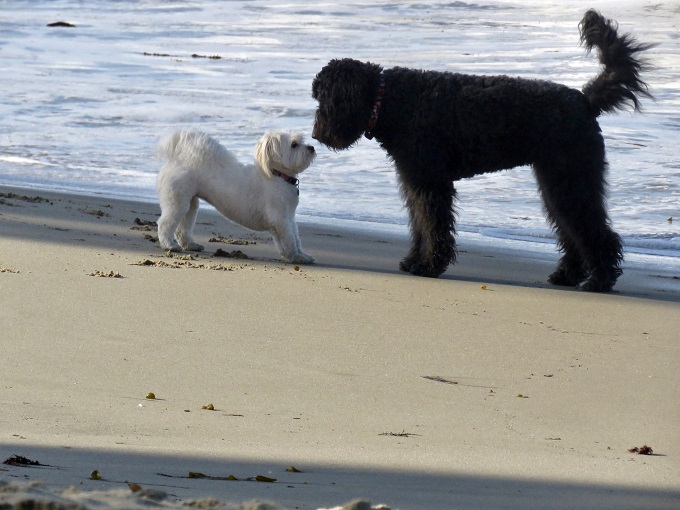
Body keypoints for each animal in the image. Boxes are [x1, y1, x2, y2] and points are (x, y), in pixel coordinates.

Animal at [156, 129, 316, 262]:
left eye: (302, 141)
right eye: (294, 145)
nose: (312, 147)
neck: (278, 176)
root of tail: (176, 161)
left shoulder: (289, 217)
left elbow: (295, 238)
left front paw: (301, 255)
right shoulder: (280, 219)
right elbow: (289, 240)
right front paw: (296, 257)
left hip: (190, 202)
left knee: (183, 226)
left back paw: (190, 245)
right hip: (178, 201)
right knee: (165, 224)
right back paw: (169, 245)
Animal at [310, 9, 652, 292]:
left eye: (324, 97)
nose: (315, 134)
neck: (391, 101)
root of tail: (585, 100)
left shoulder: (429, 182)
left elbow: (433, 223)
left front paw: (430, 265)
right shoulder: (414, 181)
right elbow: (420, 223)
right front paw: (414, 261)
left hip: (571, 182)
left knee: (597, 234)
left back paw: (600, 280)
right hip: (556, 184)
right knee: (571, 233)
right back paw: (567, 275)